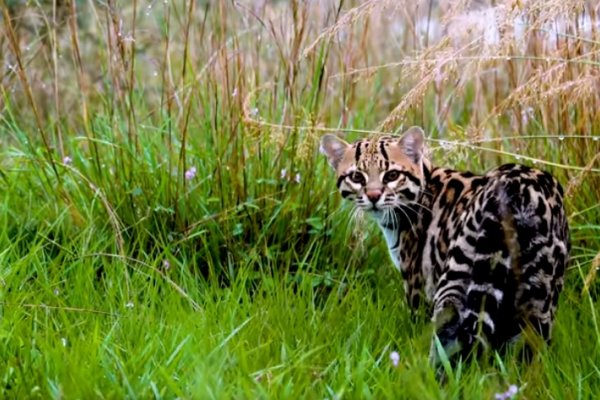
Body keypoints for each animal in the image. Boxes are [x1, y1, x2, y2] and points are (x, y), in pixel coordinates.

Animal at [322, 127, 568, 362]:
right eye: (356, 176)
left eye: (392, 175)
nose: (373, 196)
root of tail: (518, 185)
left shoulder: (417, 284)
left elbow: (417, 322)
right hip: (542, 292)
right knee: (532, 350)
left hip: (458, 271)